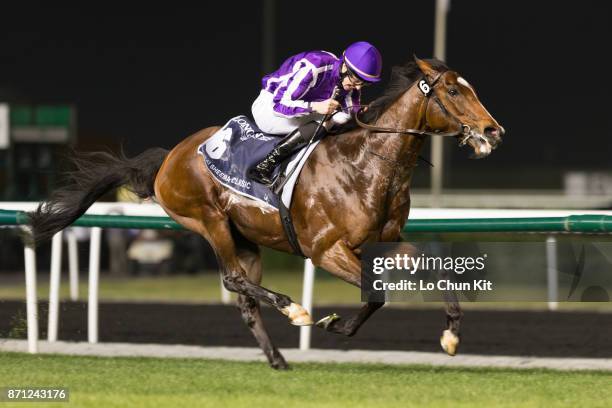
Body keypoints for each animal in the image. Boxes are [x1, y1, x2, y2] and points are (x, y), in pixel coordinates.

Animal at [28, 56, 504, 370]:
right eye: (453, 90)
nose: (493, 130)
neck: (366, 165)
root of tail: (169, 158)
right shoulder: (326, 250)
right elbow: (376, 295)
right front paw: (333, 325)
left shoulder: (386, 242)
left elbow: (433, 272)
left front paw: (451, 334)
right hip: (210, 221)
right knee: (233, 279)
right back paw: (293, 309)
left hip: (246, 239)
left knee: (245, 300)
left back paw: (277, 358)